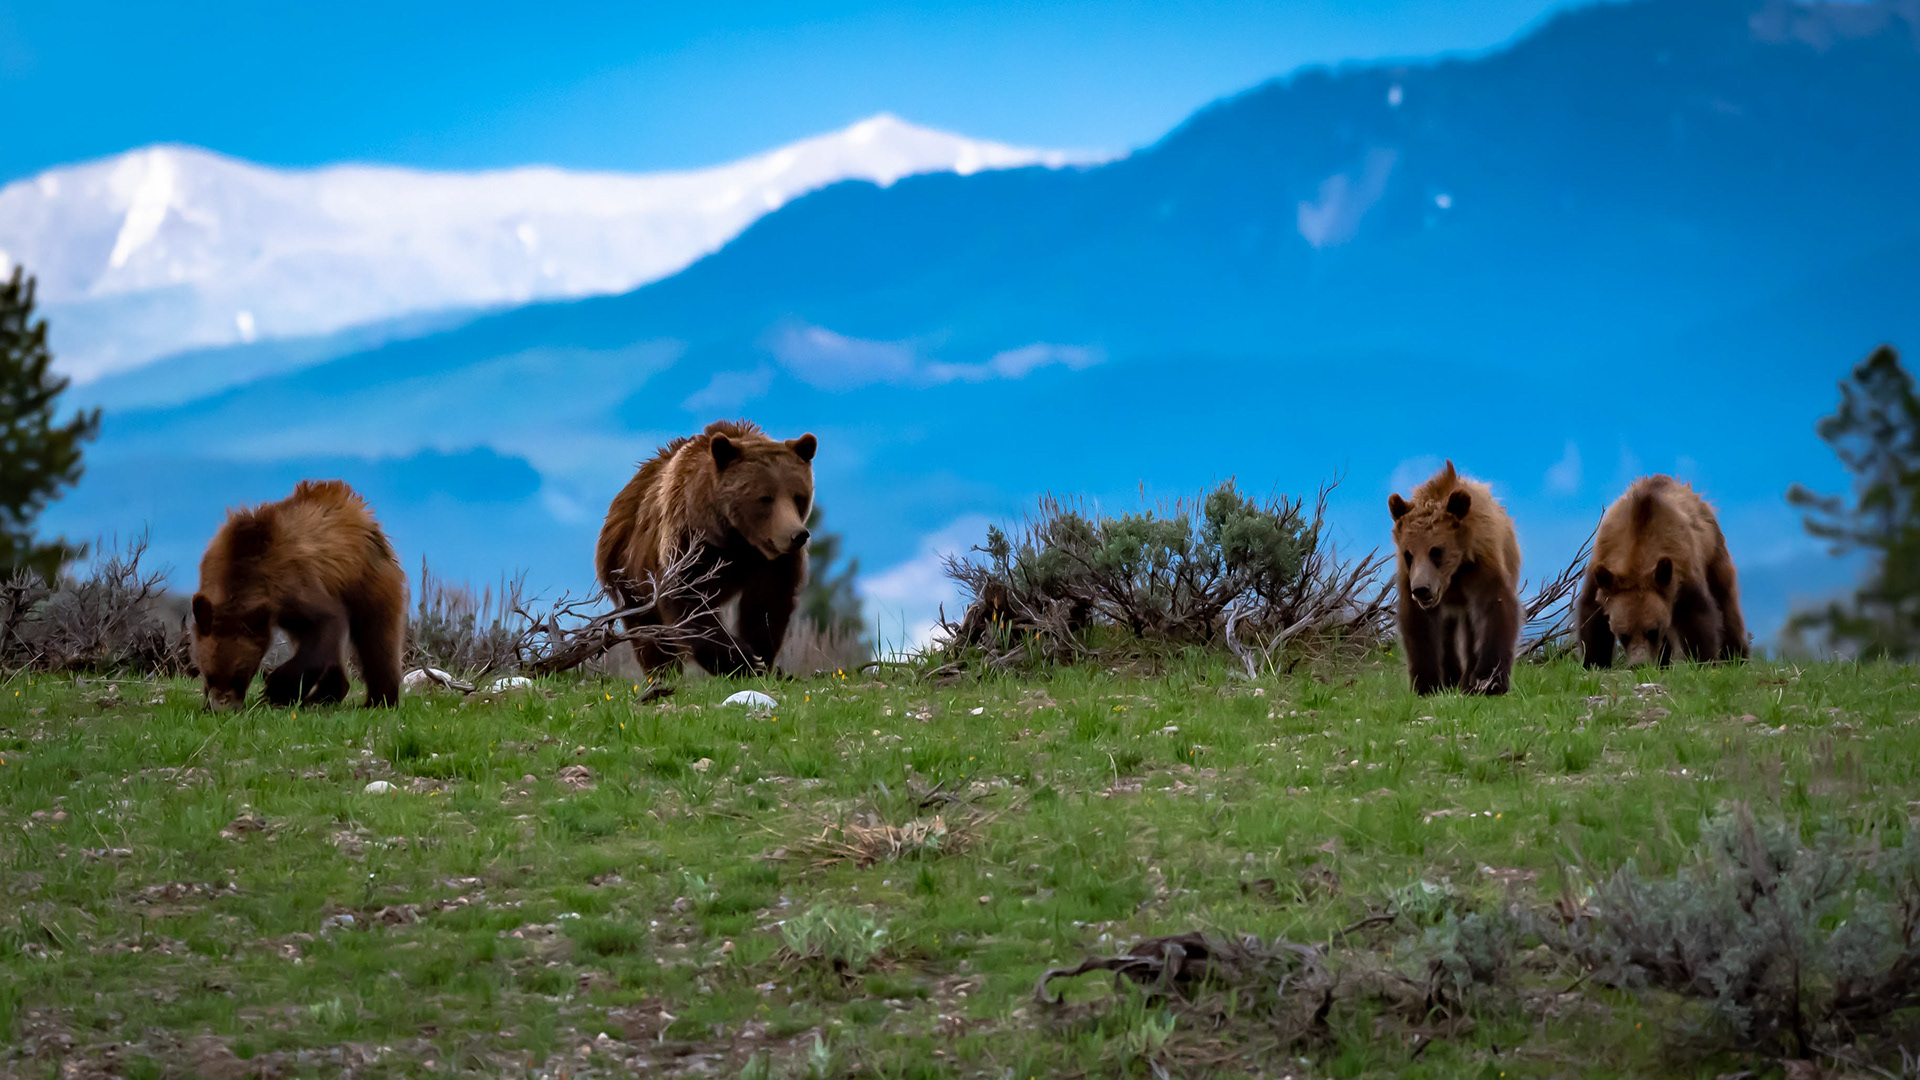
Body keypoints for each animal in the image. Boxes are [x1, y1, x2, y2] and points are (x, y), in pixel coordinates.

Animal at [191, 479, 408, 710]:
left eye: (240, 675)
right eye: (209, 674)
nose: (222, 708)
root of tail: (365, 515)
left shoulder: (290, 584)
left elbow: (326, 620)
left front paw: (275, 690)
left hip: (369, 578)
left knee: (377, 637)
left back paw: (379, 700)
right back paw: (323, 697)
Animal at [596, 419, 816, 676]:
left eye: (798, 496)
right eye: (765, 498)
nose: (797, 535)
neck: (736, 539)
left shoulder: (771, 561)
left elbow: (768, 603)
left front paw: (760, 657)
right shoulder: (689, 544)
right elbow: (689, 601)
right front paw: (742, 659)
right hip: (627, 572)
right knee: (648, 628)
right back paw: (663, 670)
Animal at [1388, 460, 1523, 695]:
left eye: (1436, 550)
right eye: (1408, 554)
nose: (1421, 589)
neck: (1453, 574)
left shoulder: (1481, 563)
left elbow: (1495, 608)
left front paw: (1489, 681)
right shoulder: (1409, 577)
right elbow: (1419, 624)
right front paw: (1426, 683)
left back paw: (1467, 679)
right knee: (1447, 633)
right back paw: (1452, 677)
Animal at [1576, 475, 1748, 667]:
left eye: (1652, 631)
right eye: (1624, 634)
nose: (1639, 664)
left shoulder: (1683, 567)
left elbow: (1697, 615)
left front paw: (1704, 659)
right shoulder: (1602, 564)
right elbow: (1592, 614)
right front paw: (1594, 661)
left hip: (1713, 550)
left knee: (1725, 601)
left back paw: (1736, 655)